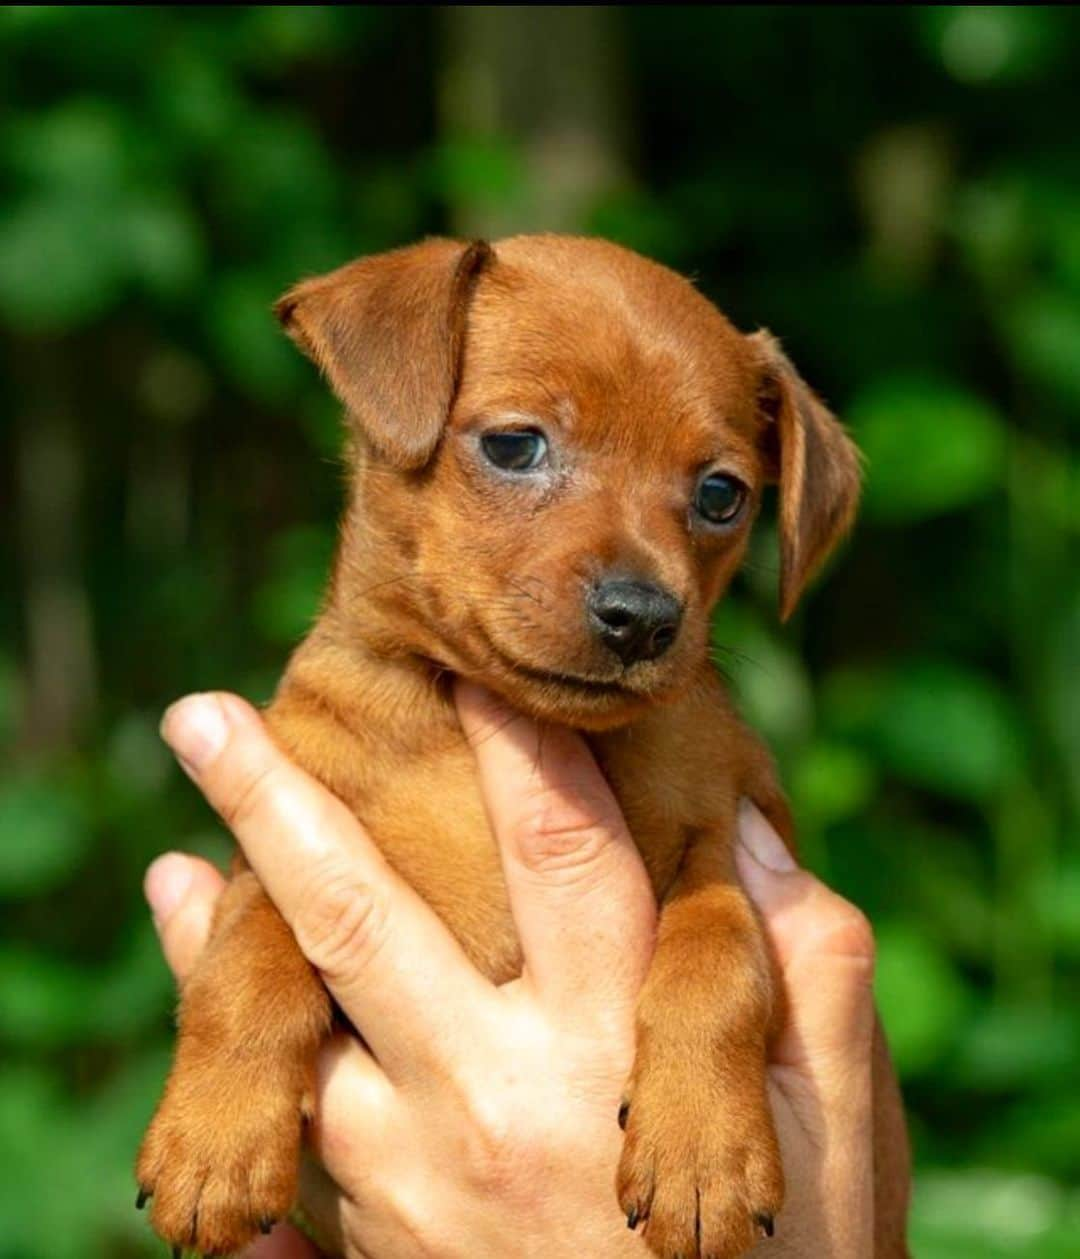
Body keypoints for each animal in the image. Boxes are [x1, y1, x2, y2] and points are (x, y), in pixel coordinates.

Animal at [136, 236, 911, 1259]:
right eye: (515, 445)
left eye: (721, 494)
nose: (642, 617)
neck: (468, 730)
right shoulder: (279, 847)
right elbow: (246, 953)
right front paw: (214, 1137)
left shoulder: (729, 833)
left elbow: (718, 948)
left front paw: (703, 1149)